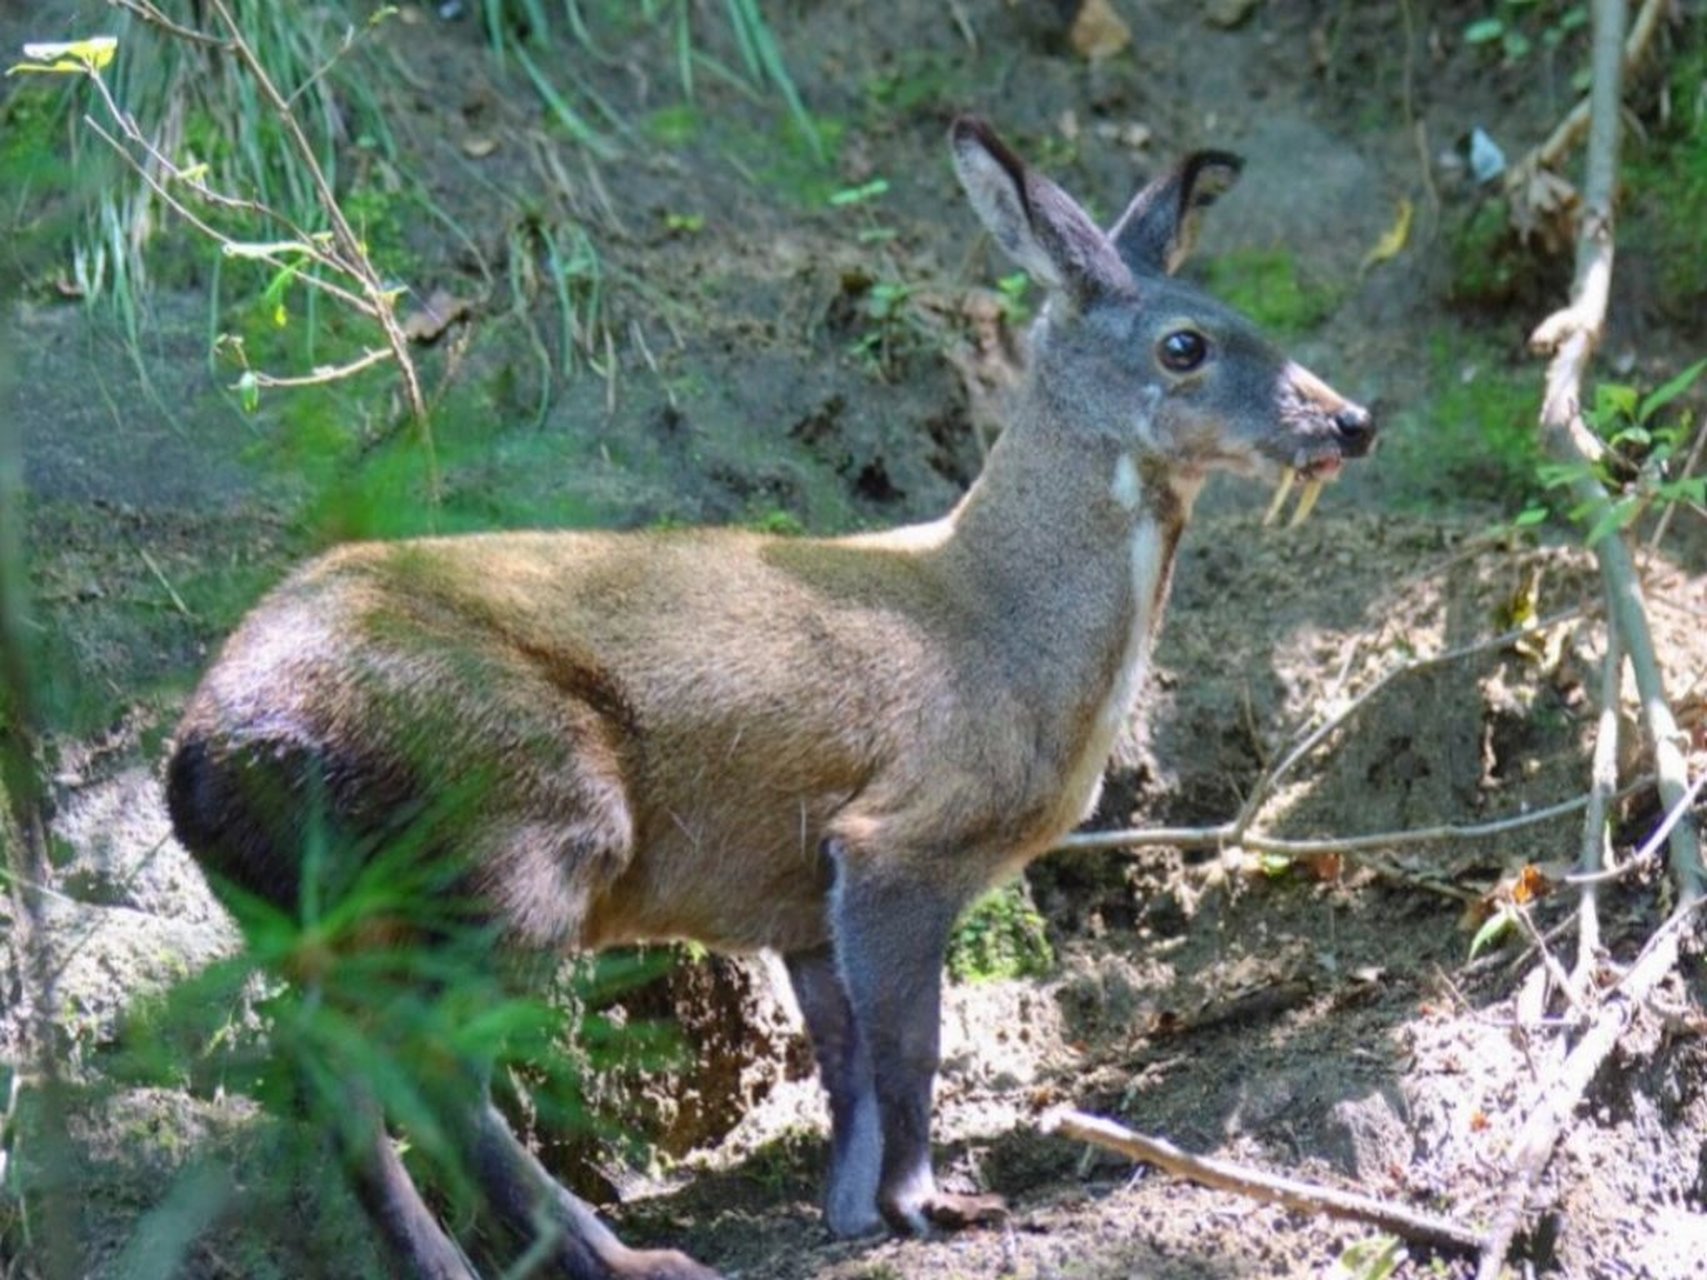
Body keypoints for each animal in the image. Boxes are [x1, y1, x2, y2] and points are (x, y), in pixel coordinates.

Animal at [166, 120, 1372, 1280]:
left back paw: (447, 1259)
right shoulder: (901, 835)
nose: (1351, 420)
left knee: (328, 1069)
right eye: (1186, 344)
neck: (1004, 633)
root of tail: (199, 755)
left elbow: (846, 1062)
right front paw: (930, 1203)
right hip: (514, 823)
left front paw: (852, 1211)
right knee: (428, 1062)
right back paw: (628, 1256)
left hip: (324, 910)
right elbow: (911, 1044)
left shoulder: (798, 894)